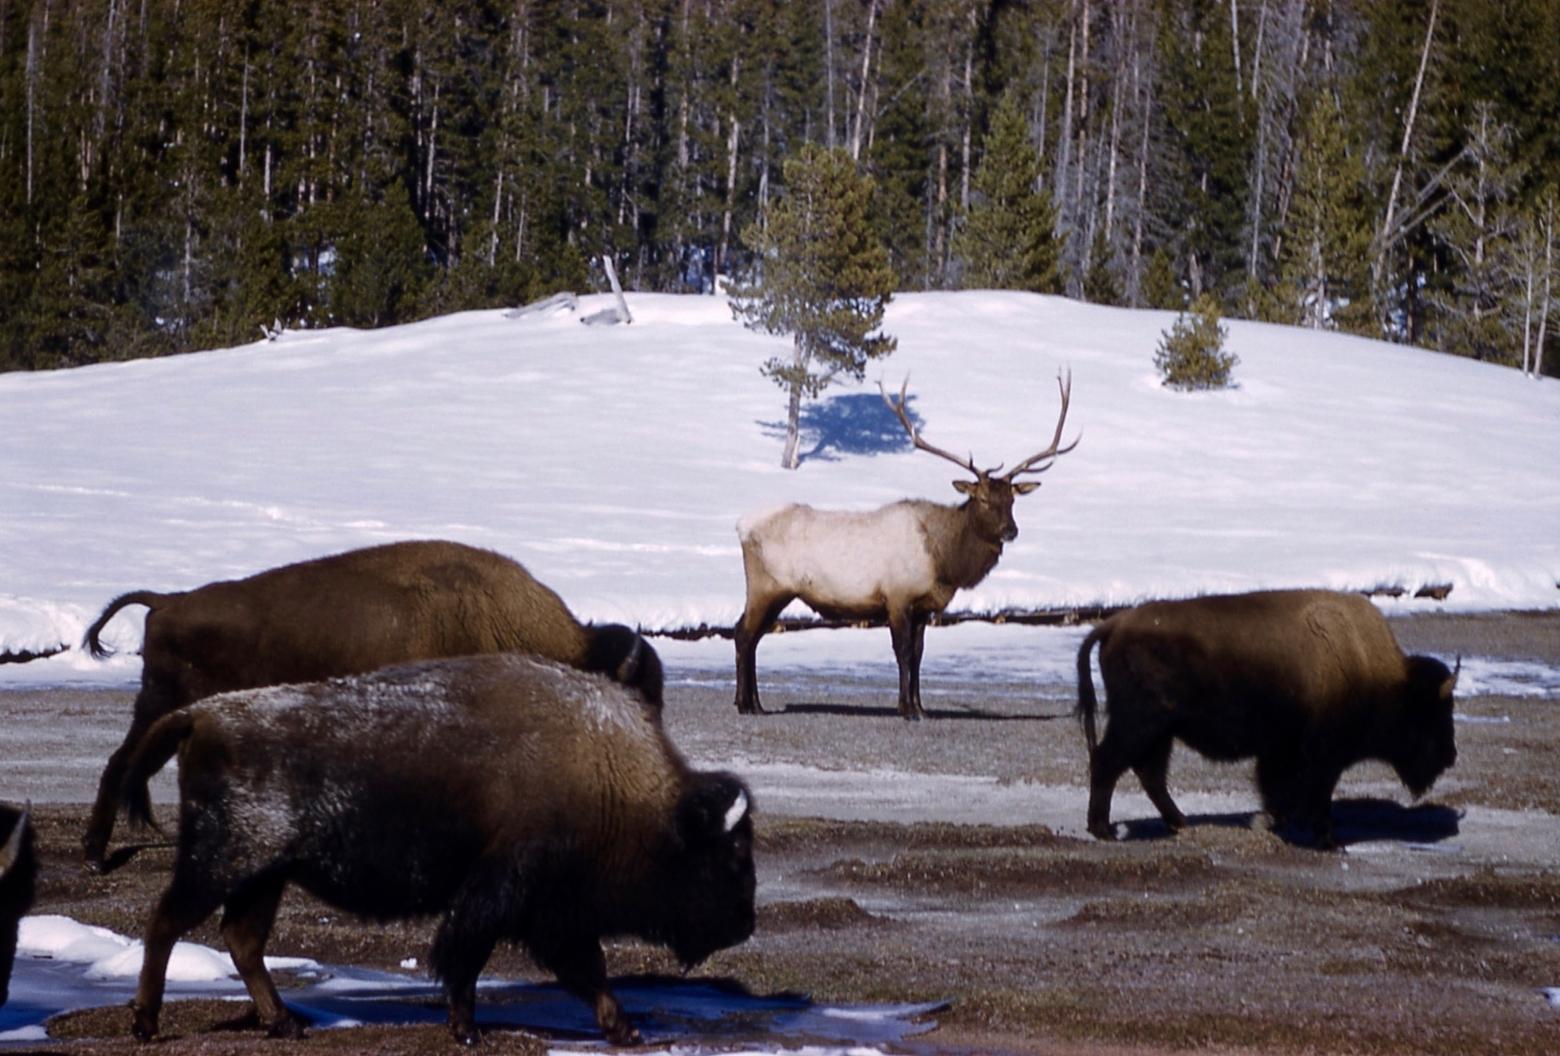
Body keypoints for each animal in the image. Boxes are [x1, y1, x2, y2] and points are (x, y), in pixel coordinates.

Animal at [121, 652, 755, 1048]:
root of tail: (200, 715)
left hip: (264, 875)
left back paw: (286, 1025)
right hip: (225, 863)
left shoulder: (552, 913)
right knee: (167, 922)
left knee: (241, 940)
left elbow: (588, 970)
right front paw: (468, 1031)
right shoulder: (502, 896)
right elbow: (468, 959)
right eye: (727, 859)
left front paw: (624, 1029)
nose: (745, 924)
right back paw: (147, 1023)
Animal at [736, 368, 1079, 717]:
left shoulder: (924, 606)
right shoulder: (897, 596)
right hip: (767, 586)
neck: (943, 562)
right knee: (744, 634)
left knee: (751, 635)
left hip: (776, 591)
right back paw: (747, 704)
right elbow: (902, 652)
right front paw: (906, 708)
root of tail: (742, 526)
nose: (1010, 530)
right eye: (982, 499)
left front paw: (920, 706)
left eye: (1011, 500)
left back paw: (753, 702)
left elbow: (918, 653)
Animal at [1079, 589, 1453, 842]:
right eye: (1432, 713)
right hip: (1141, 724)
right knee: (1109, 762)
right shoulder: (1322, 756)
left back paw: (1179, 822)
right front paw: (1328, 840)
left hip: (1160, 731)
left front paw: (1272, 823)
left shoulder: (1281, 751)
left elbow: (1279, 790)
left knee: (1148, 773)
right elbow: (1315, 793)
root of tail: (1114, 625)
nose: (1450, 756)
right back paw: (1104, 830)